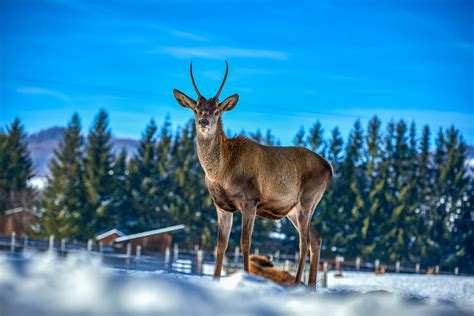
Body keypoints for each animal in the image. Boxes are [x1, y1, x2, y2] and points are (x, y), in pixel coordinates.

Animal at [174, 61, 334, 292]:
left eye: (217, 111)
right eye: (196, 109)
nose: (204, 121)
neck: (222, 173)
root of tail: (329, 168)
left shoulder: (250, 201)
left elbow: (244, 243)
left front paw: (246, 278)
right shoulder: (221, 206)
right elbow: (220, 245)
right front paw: (215, 281)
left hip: (308, 200)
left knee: (303, 242)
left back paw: (297, 285)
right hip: (293, 210)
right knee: (316, 238)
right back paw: (311, 287)